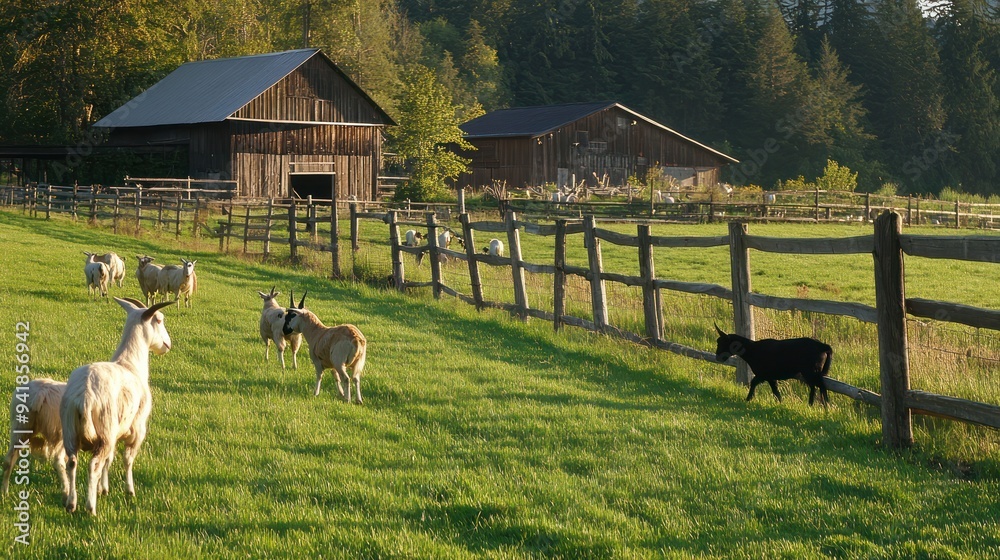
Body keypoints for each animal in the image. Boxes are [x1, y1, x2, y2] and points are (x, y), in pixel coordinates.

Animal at [60, 298, 174, 515]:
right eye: (159, 320)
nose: (168, 344)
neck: (130, 363)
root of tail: (84, 395)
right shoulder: (137, 429)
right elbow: (127, 460)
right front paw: (129, 491)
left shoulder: (115, 434)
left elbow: (110, 460)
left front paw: (103, 488)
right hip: (104, 431)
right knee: (93, 465)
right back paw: (90, 507)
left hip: (71, 432)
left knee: (72, 463)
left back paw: (71, 503)